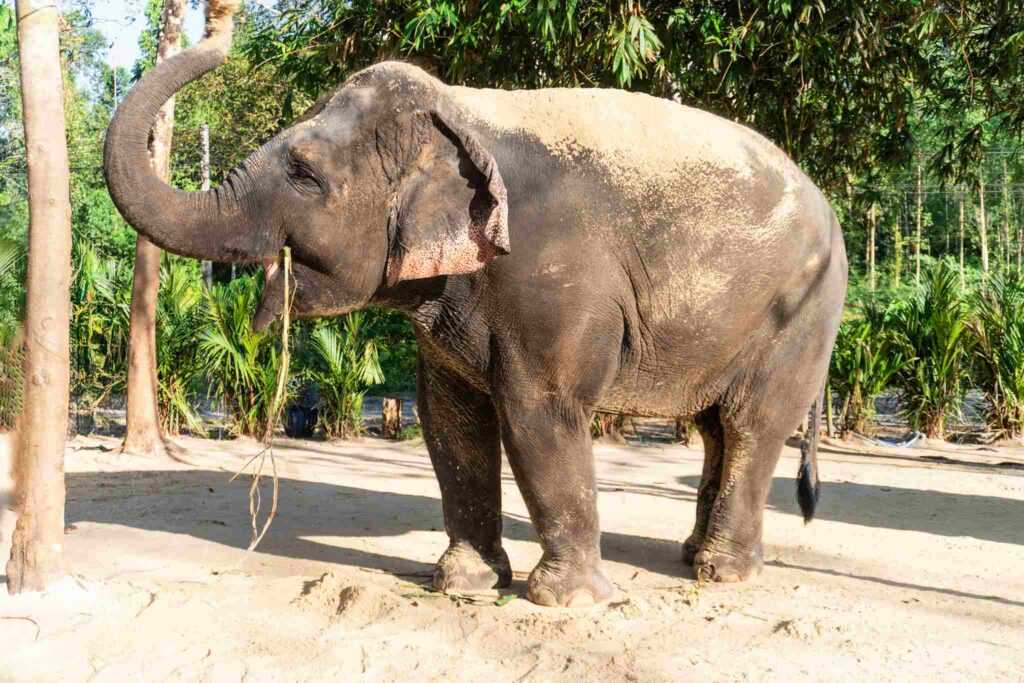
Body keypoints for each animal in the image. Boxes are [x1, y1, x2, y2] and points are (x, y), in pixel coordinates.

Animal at [103, 31, 843, 610]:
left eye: (304, 175)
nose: (221, 37)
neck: (463, 109)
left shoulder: (555, 281)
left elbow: (538, 413)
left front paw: (568, 601)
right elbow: (450, 419)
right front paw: (463, 585)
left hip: (803, 314)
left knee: (750, 424)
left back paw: (724, 574)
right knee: (716, 428)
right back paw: (693, 555)